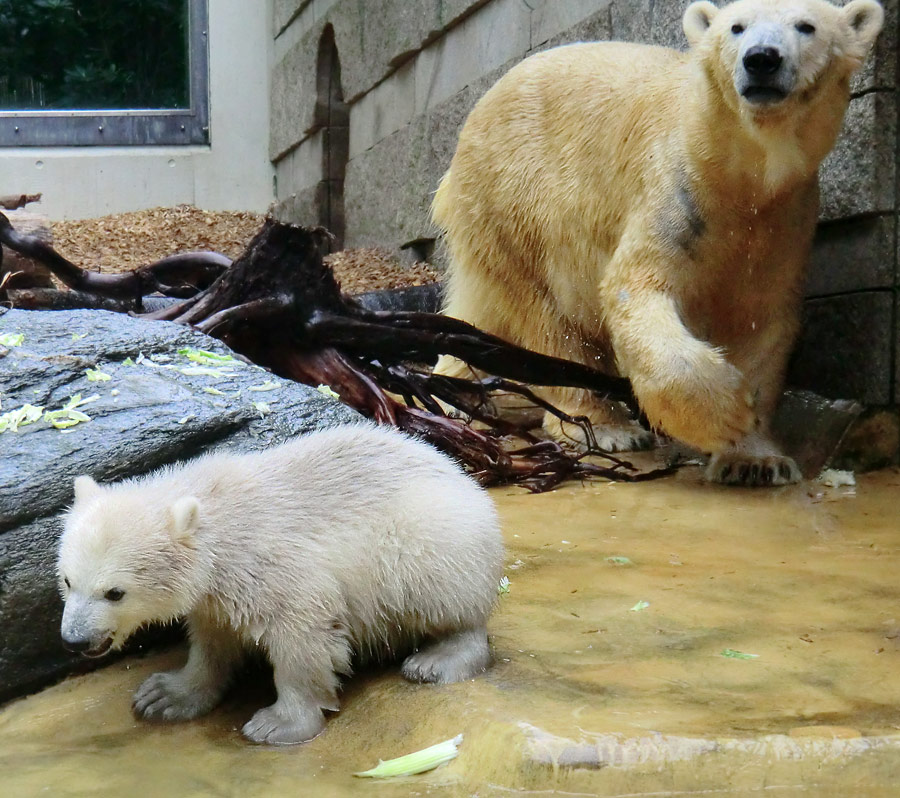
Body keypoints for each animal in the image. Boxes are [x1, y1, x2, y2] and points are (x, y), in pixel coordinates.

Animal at [436, 0, 884, 488]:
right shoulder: (678, 194)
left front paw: (755, 459)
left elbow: (759, 322)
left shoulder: (783, 222)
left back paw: (458, 394)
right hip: (516, 201)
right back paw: (606, 425)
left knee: (483, 309)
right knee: (547, 317)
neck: (738, 177)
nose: (762, 58)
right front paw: (726, 411)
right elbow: (635, 289)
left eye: (807, 26)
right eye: (736, 27)